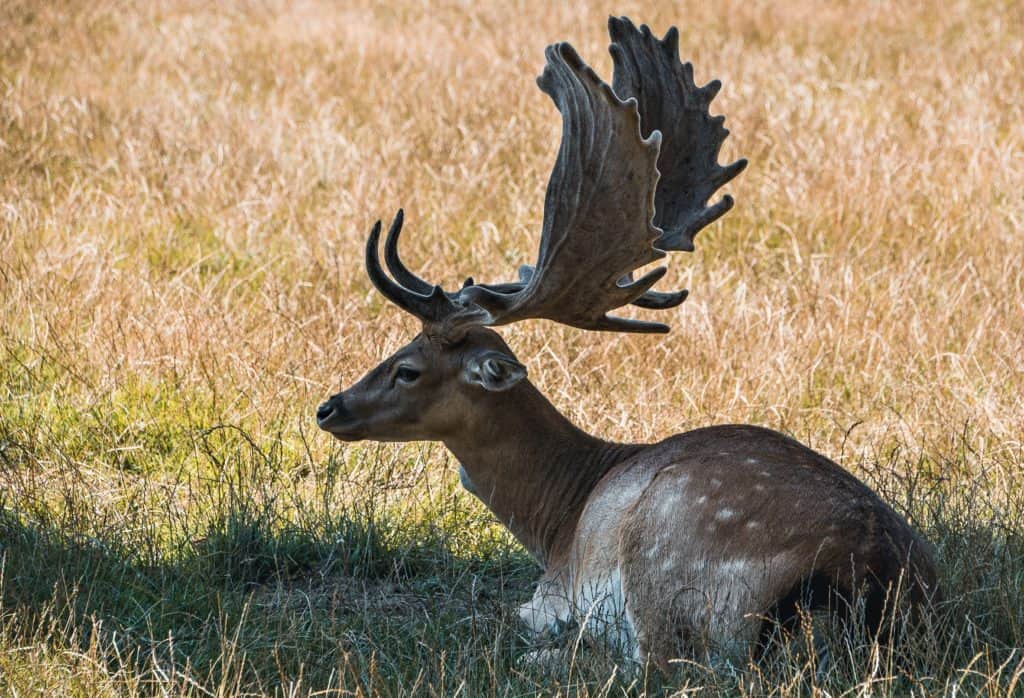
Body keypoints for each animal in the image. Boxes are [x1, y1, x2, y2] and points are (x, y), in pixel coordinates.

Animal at [315, 17, 937, 667]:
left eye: (408, 367)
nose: (329, 408)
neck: (558, 520)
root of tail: (866, 576)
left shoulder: (551, 594)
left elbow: (524, 615)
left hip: (665, 557)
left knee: (662, 662)